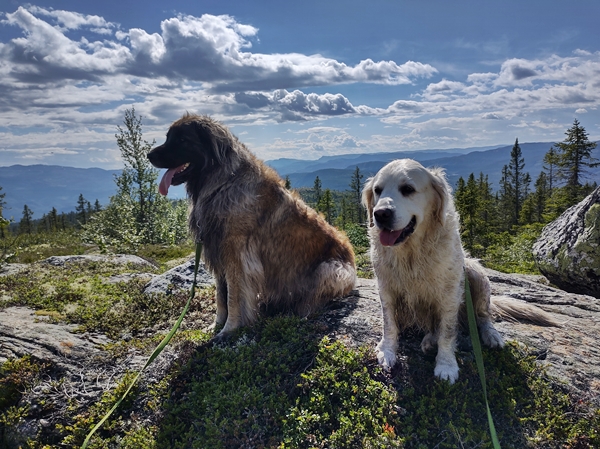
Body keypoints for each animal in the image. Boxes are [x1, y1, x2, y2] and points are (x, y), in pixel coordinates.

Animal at [148, 114, 356, 338]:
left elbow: (233, 296)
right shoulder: (217, 251)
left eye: (182, 140)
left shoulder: (237, 255)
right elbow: (221, 295)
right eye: (168, 137)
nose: (149, 155)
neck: (222, 184)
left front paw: (229, 329)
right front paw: (216, 325)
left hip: (330, 269)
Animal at [360, 158, 552, 382]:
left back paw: (490, 335)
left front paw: (446, 364)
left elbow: (448, 331)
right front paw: (387, 350)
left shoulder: (450, 293)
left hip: (474, 273)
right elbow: (388, 322)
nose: (380, 214)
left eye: (407, 189)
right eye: (377, 190)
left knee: (483, 316)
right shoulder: (386, 287)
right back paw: (429, 340)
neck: (412, 252)